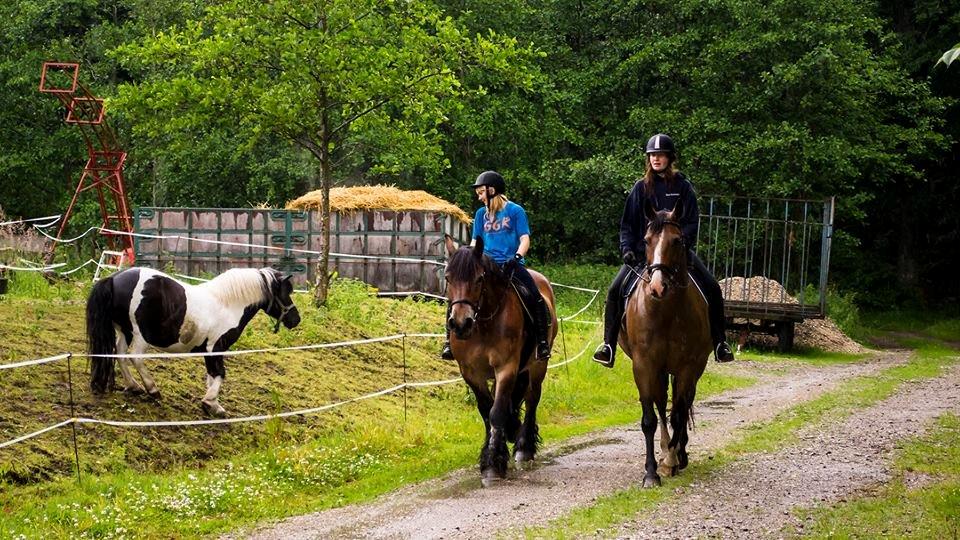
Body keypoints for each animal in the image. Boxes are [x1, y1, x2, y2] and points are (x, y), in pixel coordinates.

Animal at [89, 268, 302, 416]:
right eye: (285, 292)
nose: (296, 319)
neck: (227, 304)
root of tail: (114, 278)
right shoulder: (215, 348)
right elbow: (219, 374)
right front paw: (211, 404)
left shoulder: (209, 351)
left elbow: (211, 376)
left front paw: (213, 404)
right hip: (141, 335)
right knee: (135, 358)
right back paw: (152, 389)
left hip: (125, 332)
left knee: (119, 355)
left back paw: (133, 386)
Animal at [446, 235, 560, 486]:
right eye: (448, 278)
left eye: (479, 278)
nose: (460, 324)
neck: (484, 322)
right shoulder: (471, 373)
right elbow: (486, 410)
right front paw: (491, 453)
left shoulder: (506, 368)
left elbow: (496, 412)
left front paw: (493, 465)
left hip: (538, 366)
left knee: (532, 399)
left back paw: (524, 448)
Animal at [624, 199, 712, 490]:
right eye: (646, 240)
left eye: (677, 240)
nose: (657, 288)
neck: (666, 312)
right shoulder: (644, 366)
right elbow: (650, 419)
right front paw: (652, 472)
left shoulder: (687, 367)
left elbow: (680, 413)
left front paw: (673, 458)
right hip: (659, 370)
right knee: (662, 404)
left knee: (682, 405)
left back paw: (677, 453)